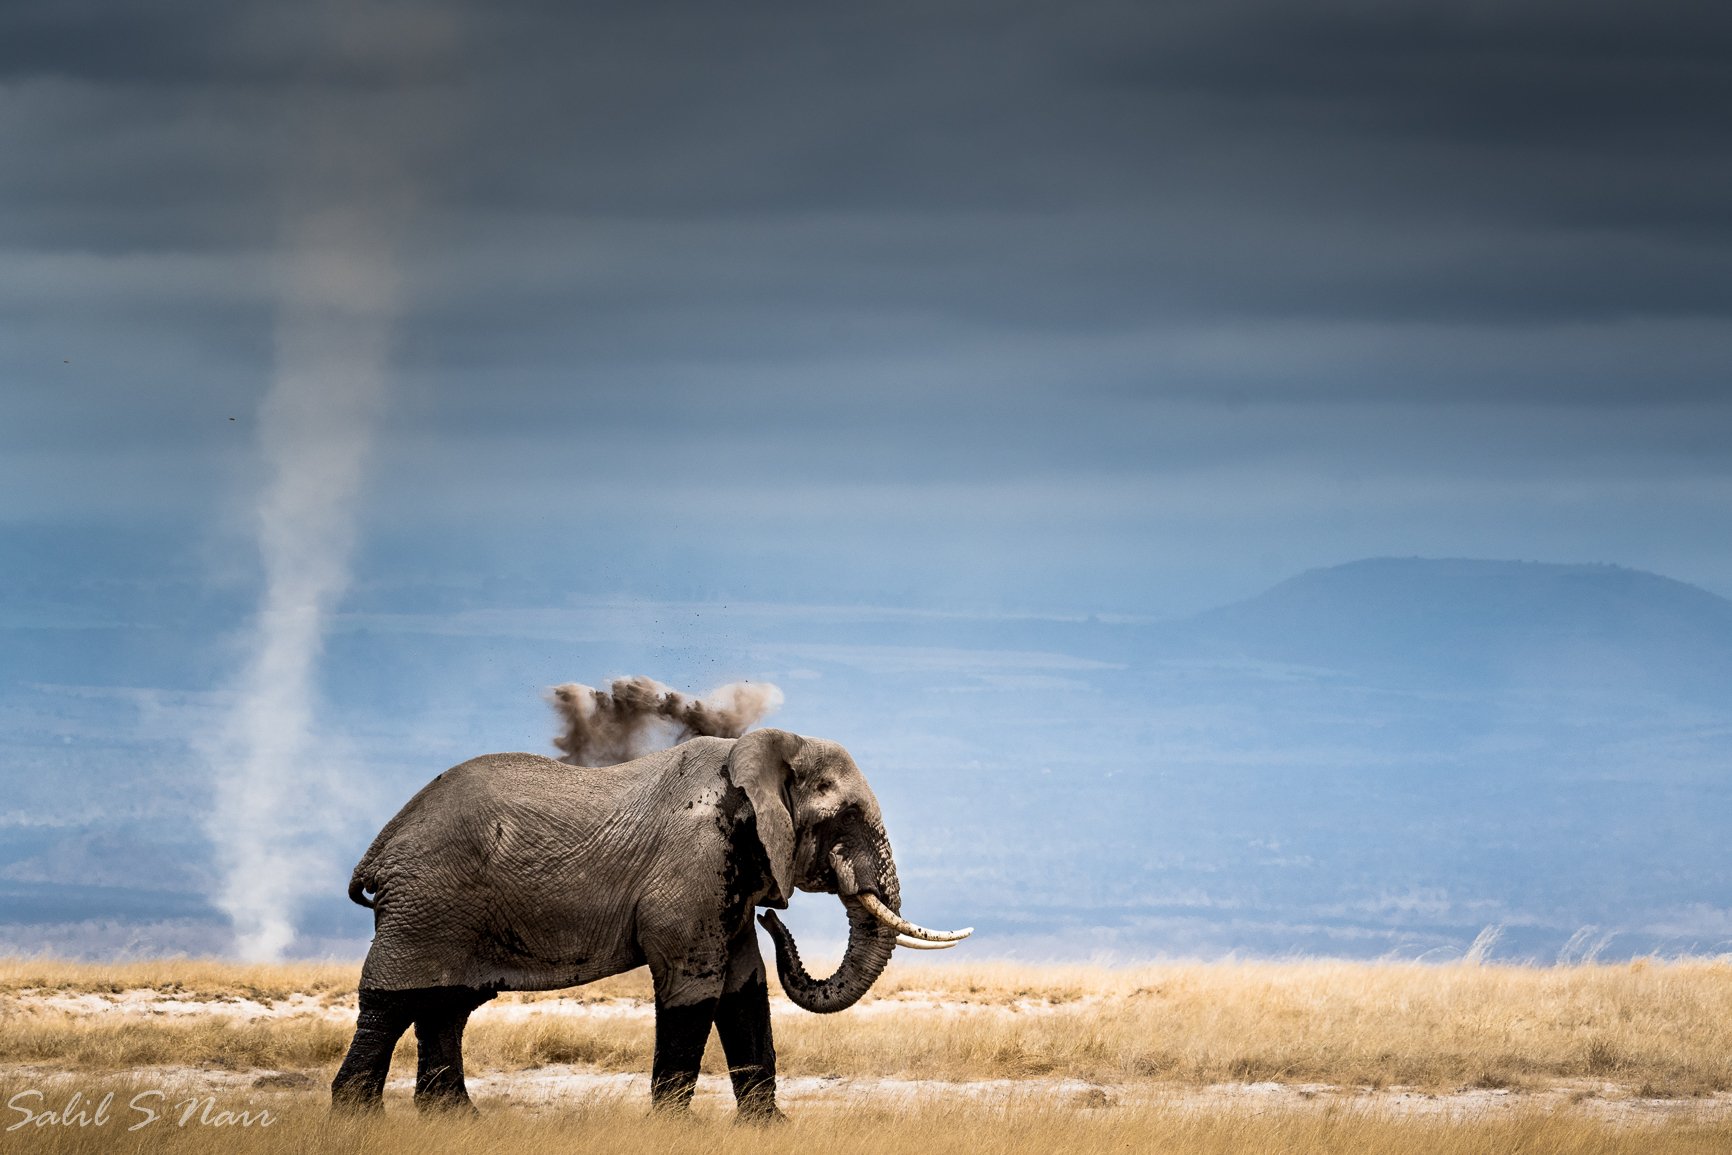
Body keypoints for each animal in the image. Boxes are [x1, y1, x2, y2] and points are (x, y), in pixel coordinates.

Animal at [329, 728, 970, 1120]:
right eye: (847, 817)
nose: (774, 919)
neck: (760, 753)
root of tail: (380, 848)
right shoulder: (695, 862)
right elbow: (695, 986)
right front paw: (673, 1131)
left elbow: (744, 989)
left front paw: (772, 1130)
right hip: (425, 905)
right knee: (392, 1002)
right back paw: (361, 1121)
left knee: (446, 1006)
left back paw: (460, 1123)